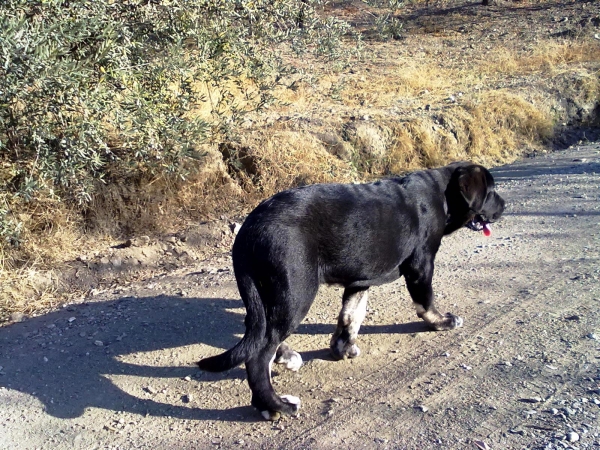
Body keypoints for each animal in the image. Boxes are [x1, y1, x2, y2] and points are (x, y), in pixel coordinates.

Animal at [199, 163, 504, 422]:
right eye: (490, 192)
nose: (503, 206)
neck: (443, 194)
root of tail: (249, 229)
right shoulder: (421, 263)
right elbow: (425, 300)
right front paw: (441, 321)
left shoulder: (360, 279)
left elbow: (351, 315)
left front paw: (342, 348)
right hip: (295, 292)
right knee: (258, 353)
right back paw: (275, 405)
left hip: (268, 296)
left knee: (258, 332)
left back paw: (281, 367)